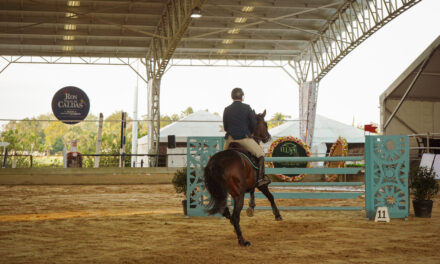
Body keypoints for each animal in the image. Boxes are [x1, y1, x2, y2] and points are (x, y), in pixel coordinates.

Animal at [204, 109, 282, 245]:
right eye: (265, 124)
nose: (267, 137)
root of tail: (216, 163)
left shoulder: (250, 183)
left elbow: (252, 191)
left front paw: (251, 206)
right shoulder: (261, 184)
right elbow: (270, 196)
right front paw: (277, 215)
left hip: (220, 194)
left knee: (225, 211)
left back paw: (235, 228)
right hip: (238, 195)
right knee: (235, 216)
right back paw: (243, 240)